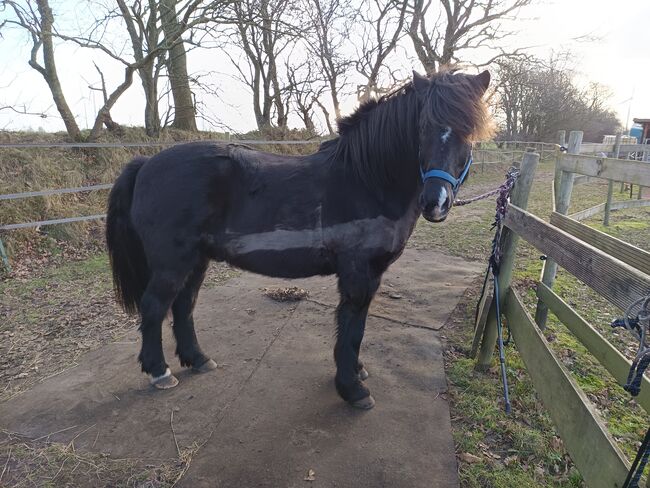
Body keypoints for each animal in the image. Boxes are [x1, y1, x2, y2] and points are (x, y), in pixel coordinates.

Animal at [106, 69, 492, 409]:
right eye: (423, 128)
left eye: (469, 132)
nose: (435, 203)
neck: (366, 179)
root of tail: (146, 163)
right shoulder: (357, 272)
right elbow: (351, 326)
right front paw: (352, 389)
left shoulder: (372, 273)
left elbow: (358, 324)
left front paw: (356, 372)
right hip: (172, 263)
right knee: (155, 307)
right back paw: (159, 372)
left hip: (197, 260)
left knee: (183, 306)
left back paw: (198, 359)